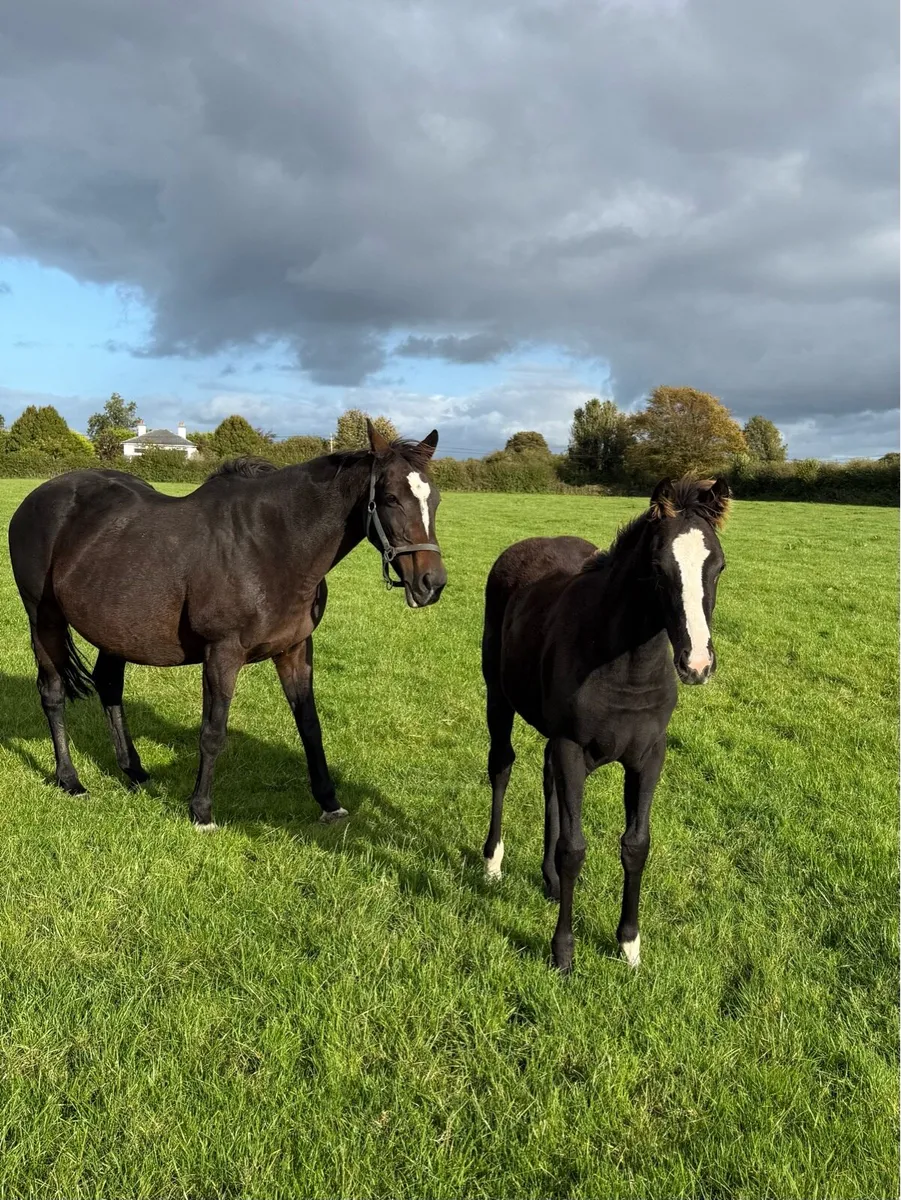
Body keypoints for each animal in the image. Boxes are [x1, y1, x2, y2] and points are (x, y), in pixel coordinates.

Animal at [8, 421, 446, 829]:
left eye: (436, 499)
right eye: (390, 498)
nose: (432, 583)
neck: (271, 545)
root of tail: (38, 498)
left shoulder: (295, 649)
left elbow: (310, 726)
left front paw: (329, 802)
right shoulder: (222, 653)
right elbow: (213, 732)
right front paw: (201, 811)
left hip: (115, 631)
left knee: (109, 686)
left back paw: (134, 771)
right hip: (44, 620)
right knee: (52, 693)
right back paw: (70, 780)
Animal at [480, 476, 730, 974]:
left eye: (718, 566)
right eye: (658, 568)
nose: (696, 665)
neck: (625, 665)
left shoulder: (649, 755)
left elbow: (636, 844)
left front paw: (629, 945)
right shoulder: (572, 747)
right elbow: (574, 848)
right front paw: (563, 952)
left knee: (545, 779)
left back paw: (550, 881)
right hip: (498, 698)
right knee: (502, 766)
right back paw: (493, 863)